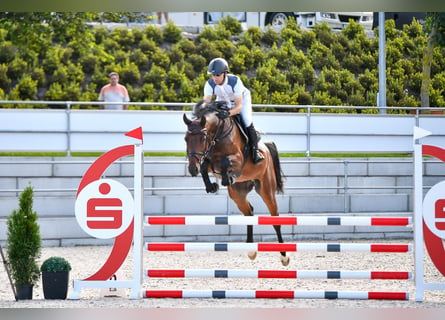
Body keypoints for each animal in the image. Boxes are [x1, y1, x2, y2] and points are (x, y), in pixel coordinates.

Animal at [182, 101, 290, 266]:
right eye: (186, 139)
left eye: (202, 138)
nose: (192, 169)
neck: (217, 134)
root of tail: (266, 147)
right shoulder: (208, 160)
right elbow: (205, 166)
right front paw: (212, 186)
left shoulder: (237, 159)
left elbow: (226, 161)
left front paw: (226, 178)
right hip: (238, 194)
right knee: (249, 212)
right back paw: (251, 251)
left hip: (266, 188)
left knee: (275, 217)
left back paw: (284, 256)